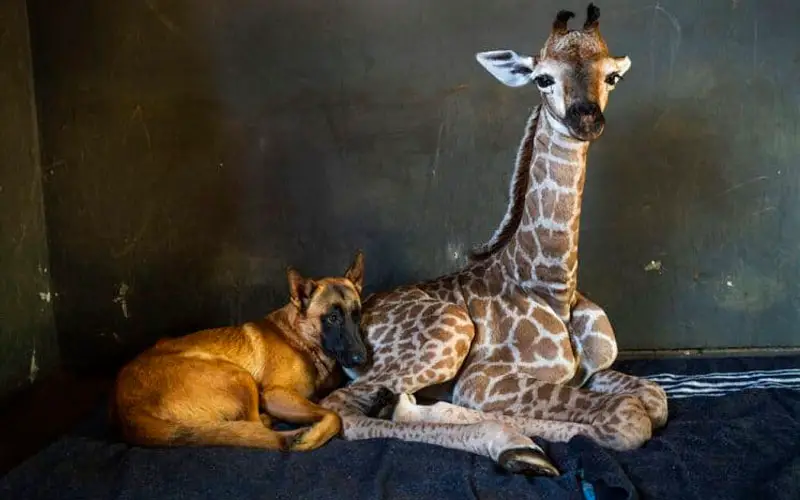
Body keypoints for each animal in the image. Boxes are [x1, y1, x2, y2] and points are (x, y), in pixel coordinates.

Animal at [109, 252, 368, 452]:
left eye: (357, 315)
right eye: (332, 318)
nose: (362, 358)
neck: (301, 338)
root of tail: (128, 413)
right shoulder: (275, 394)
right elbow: (333, 416)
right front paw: (312, 435)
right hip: (239, 377)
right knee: (255, 426)